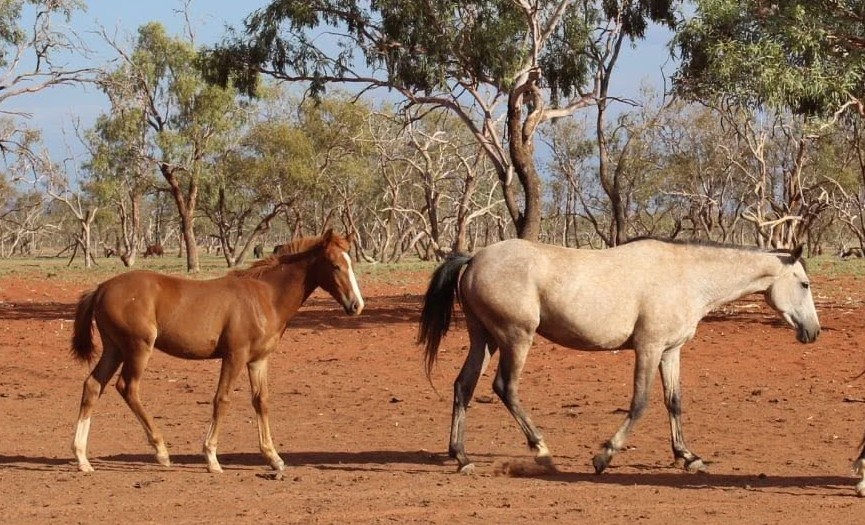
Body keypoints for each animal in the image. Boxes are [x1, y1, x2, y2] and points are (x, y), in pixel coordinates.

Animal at [70, 229, 364, 473]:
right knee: (128, 387)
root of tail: (101, 288)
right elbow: (222, 400)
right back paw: (161, 451)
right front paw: (211, 457)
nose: (356, 305)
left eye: (351, 263)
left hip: (115, 349)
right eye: (336, 265)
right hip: (138, 347)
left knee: (93, 386)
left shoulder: (258, 360)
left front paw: (273, 457)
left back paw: (82, 458)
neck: (265, 296)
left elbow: (261, 401)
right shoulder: (235, 356)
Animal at [419, 238, 820, 474]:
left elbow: (674, 402)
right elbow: (640, 403)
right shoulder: (648, 348)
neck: (686, 276)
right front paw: (604, 455)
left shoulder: (670, 351)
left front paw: (687, 456)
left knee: (463, 387)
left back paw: (461, 458)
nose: (813, 332)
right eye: (804, 284)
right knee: (505, 388)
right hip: (516, 338)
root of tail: (474, 258)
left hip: (484, 339)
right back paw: (542, 452)